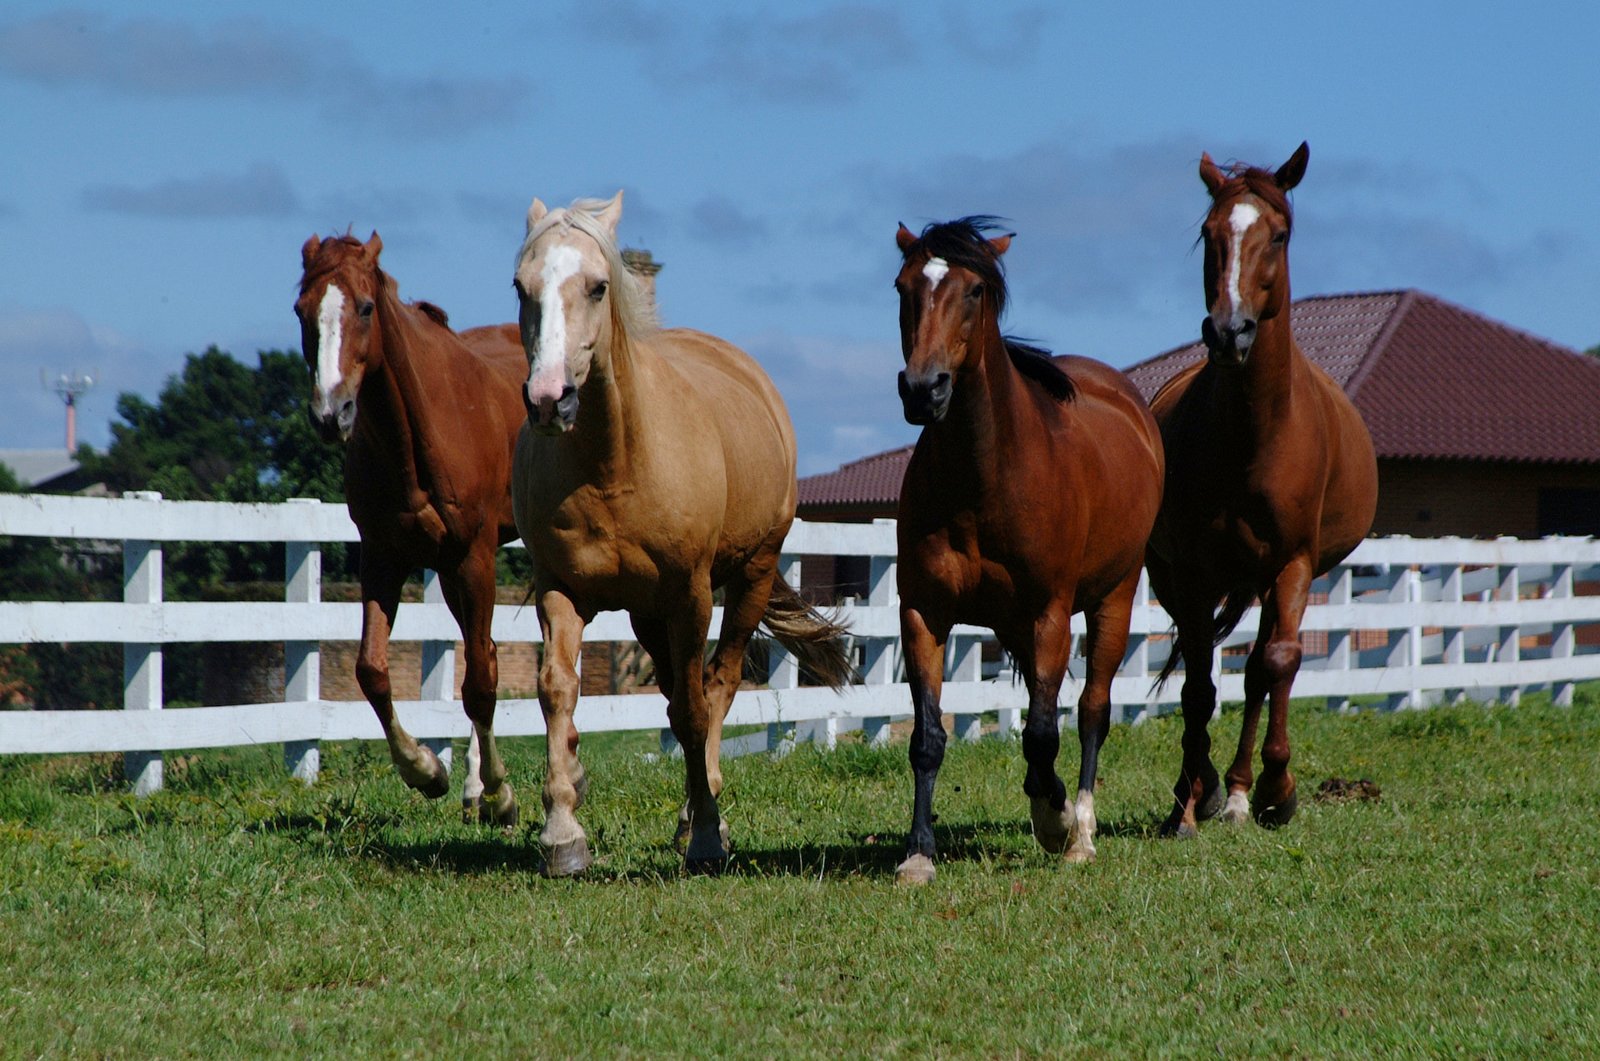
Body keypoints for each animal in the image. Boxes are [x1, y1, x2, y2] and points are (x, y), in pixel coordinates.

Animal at [294, 232, 528, 827]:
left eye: (366, 308)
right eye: (302, 310)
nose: (331, 413)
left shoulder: (475, 556)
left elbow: (481, 683)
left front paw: (502, 793)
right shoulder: (383, 556)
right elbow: (372, 672)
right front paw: (426, 770)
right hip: (446, 571)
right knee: (487, 651)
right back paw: (471, 788)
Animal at [509, 192, 853, 875]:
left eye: (597, 286)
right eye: (521, 286)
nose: (549, 399)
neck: (615, 464)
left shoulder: (691, 596)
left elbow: (696, 708)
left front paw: (707, 835)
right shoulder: (560, 589)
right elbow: (558, 690)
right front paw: (563, 832)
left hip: (748, 580)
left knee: (715, 687)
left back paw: (701, 814)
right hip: (647, 612)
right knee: (675, 692)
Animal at [892, 217, 1164, 884]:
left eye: (973, 291)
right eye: (903, 287)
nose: (923, 389)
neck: (985, 478)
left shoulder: (1049, 615)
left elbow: (1044, 733)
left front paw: (1055, 819)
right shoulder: (923, 614)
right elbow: (928, 738)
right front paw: (918, 853)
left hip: (1112, 599)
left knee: (1092, 710)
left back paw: (1082, 831)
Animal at [1145, 142, 1378, 836]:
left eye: (1278, 235)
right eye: (1209, 233)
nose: (1230, 332)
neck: (1254, 435)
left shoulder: (1291, 563)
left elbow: (1275, 663)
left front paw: (1277, 788)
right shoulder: (1193, 572)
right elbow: (1197, 685)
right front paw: (1190, 800)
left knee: (1258, 672)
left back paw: (1244, 791)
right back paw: (1206, 790)